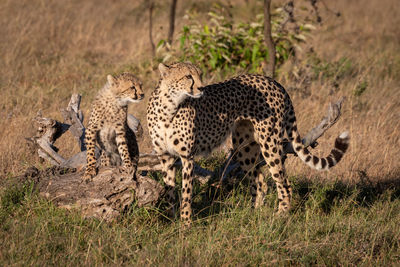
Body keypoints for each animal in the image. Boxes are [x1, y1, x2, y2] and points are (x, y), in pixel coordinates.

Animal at [148, 62, 350, 228]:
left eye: (199, 74)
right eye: (188, 76)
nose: (202, 88)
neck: (169, 107)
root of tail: (273, 81)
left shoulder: (187, 157)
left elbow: (186, 193)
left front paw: (185, 225)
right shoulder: (165, 156)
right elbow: (169, 189)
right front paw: (171, 220)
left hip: (269, 142)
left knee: (284, 184)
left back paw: (280, 216)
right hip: (244, 147)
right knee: (260, 182)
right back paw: (253, 214)